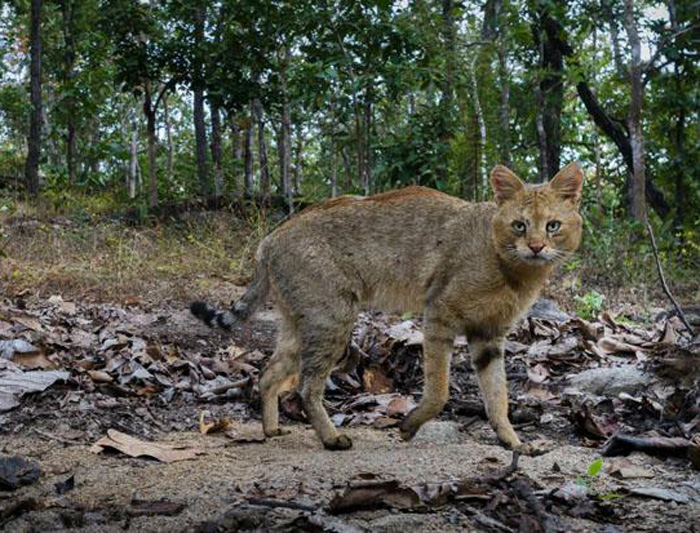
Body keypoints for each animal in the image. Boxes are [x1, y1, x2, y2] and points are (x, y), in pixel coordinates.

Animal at [189, 162, 584, 448]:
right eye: (519, 226)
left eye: (552, 226)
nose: (536, 246)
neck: (512, 271)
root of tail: (269, 239)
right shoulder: (439, 316)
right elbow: (439, 391)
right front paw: (408, 426)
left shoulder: (489, 335)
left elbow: (498, 397)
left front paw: (512, 441)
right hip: (332, 321)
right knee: (306, 386)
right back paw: (331, 438)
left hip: (301, 326)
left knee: (269, 375)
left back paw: (271, 429)